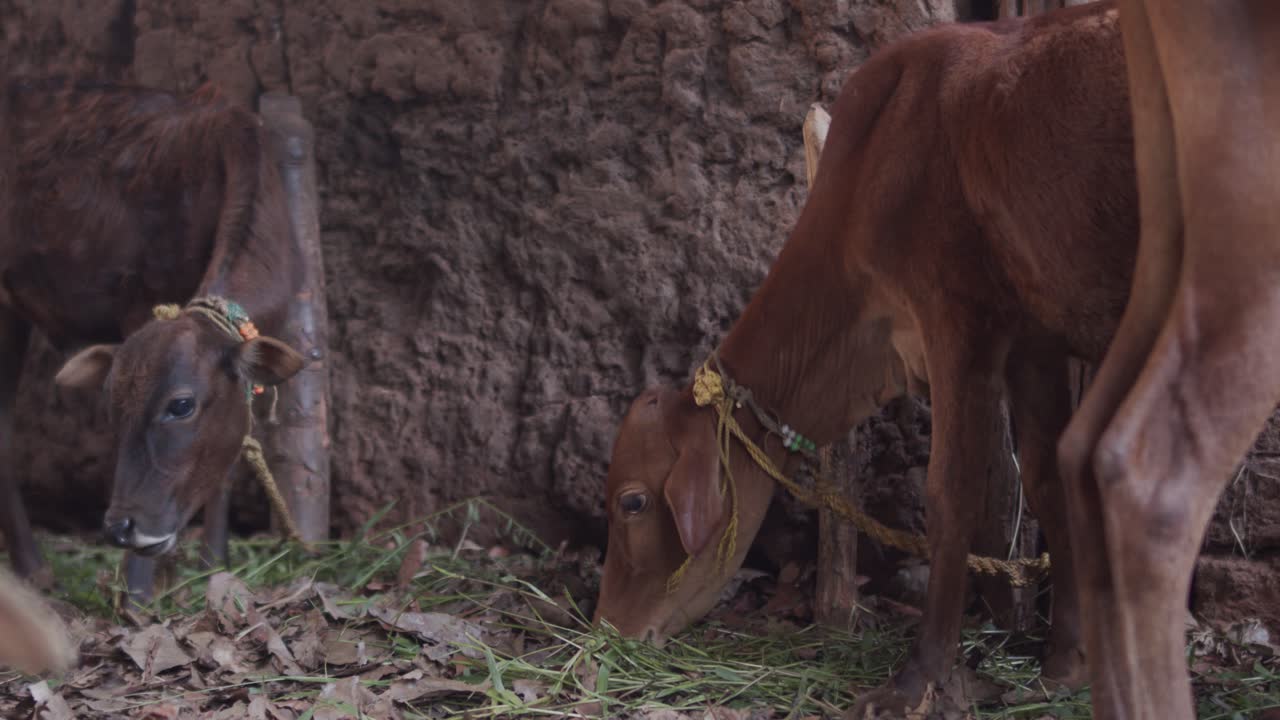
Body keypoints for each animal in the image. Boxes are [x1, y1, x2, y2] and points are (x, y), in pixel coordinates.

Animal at [0, 77, 306, 601]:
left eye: (181, 405)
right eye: (111, 404)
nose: (120, 528)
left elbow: (226, 461)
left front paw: (212, 568)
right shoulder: (136, 302)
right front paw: (137, 594)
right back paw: (33, 569)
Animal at [594, 2, 1135, 714]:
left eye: (632, 502)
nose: (606, 630)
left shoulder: (957, 315)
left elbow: (951, 493)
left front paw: (915, 681)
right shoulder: (1033, 338)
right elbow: (1048, 480)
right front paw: (1064, 662)